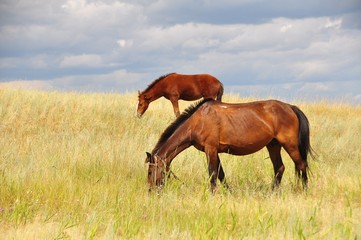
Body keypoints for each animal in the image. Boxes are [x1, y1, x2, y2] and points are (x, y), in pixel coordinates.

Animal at [145, 98, 314, 192]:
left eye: (150, 172)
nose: (151, 191)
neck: (198, 121)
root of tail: (290, 107)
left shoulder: (211, 149)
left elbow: (213, 174)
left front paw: (213, 194)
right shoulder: (213, 151)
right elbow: (221, 174)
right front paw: (228, 192)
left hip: (290, 144)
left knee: (301, 165)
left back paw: (305, 191)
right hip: (273, 145)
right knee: (280, 168)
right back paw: (273, 192)